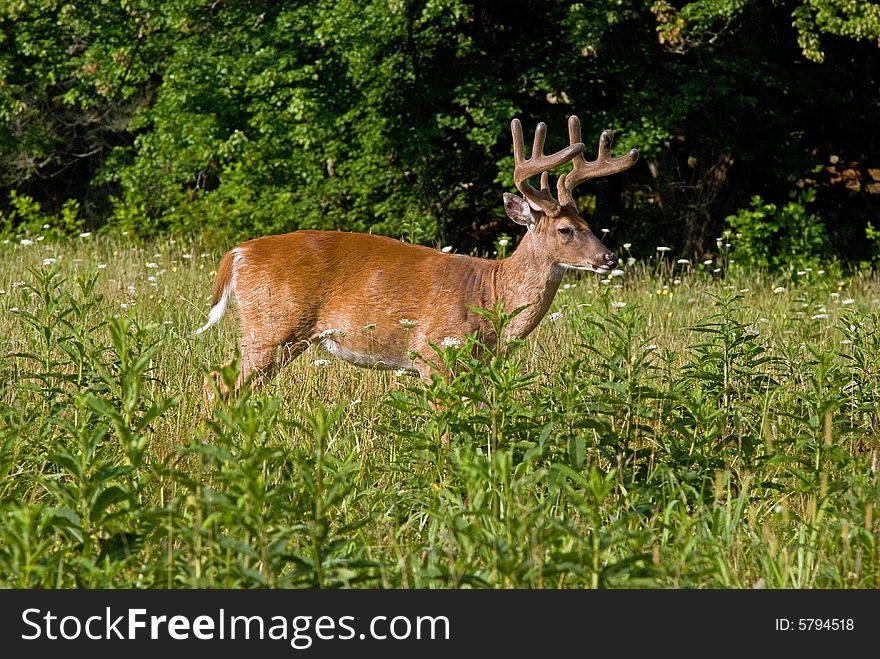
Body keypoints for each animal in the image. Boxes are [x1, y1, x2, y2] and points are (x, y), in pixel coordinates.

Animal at [194, 114, 640, 402]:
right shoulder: (433, 354)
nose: (608, 257)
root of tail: (238, 254)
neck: (491, 295)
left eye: (588, 221)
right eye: (565, 230)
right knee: (217, 382)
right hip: (271, 326)